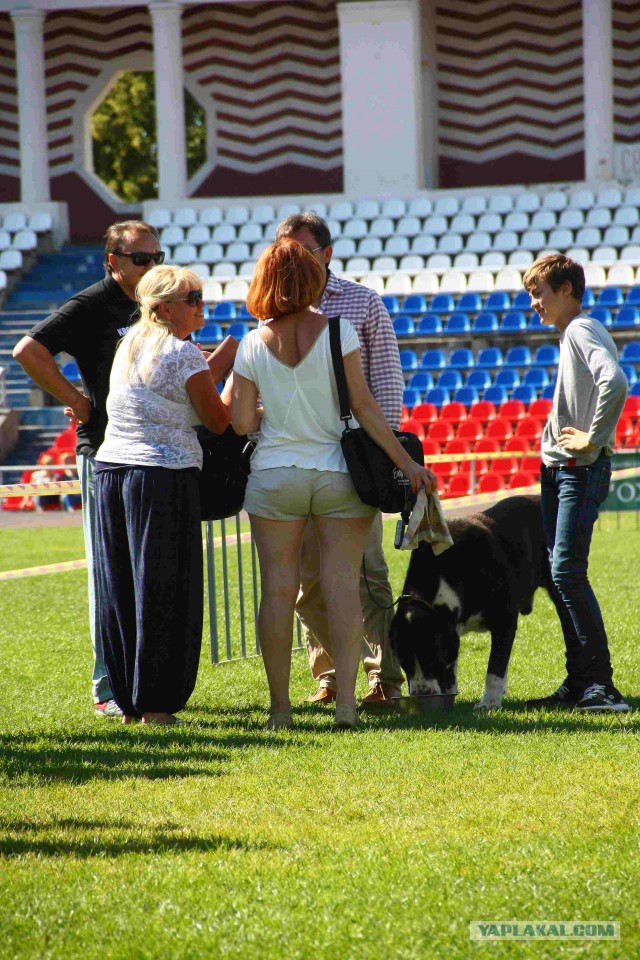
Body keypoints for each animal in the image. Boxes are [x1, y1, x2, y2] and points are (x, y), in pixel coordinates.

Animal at [390, 498, 564, 708]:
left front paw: (489, 702)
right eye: (404, 663)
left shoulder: (503, 620)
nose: (421, 694)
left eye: (430, 658)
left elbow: (494, 666)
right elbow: (453, 664)